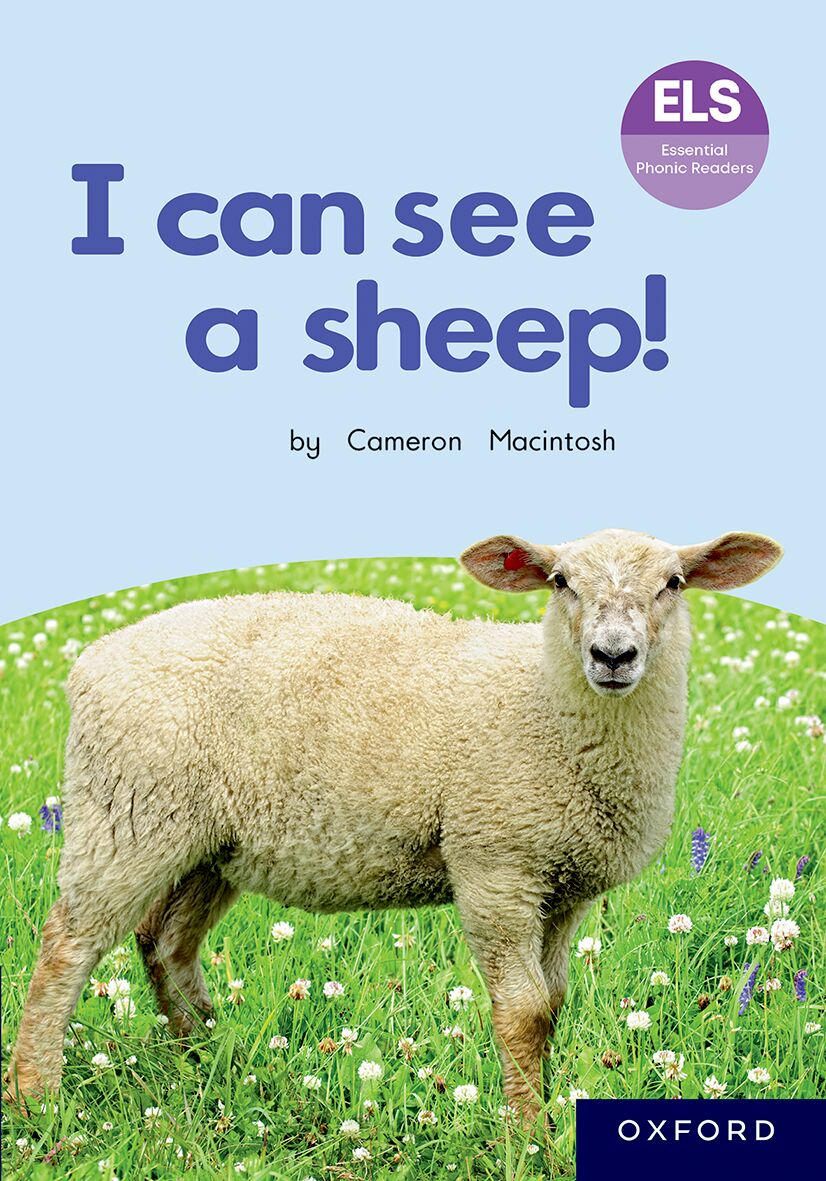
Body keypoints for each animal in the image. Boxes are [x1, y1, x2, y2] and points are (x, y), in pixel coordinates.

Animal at [4, 528, 782, 1120]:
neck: (543, 705)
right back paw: (39, 1097)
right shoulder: (495, 864)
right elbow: (525, 1013)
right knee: (68, 947)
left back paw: (211, 1058)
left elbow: (554, 1004)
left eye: (674, 582)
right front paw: (527, 1136)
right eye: (560, 580)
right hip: (127, 813)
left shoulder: (564, 886)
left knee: (165, 942)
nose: (613, 655)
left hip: (209, 841)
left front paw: (544, 1113)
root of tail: (92, 660)